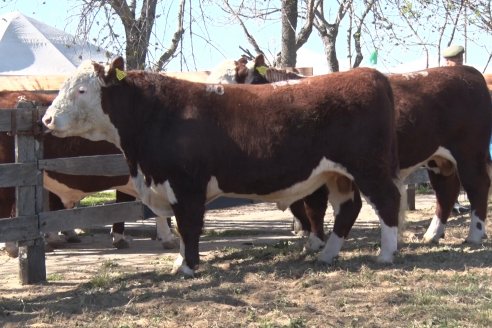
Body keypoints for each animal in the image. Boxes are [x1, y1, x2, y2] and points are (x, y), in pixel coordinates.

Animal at [41, 57, 404, 276]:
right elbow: (180, 227)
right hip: (337, 174)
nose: (46, 119)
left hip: (368, 167)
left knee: (386, 201)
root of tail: (368, 75)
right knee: (348, 208)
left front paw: (186, 267)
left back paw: (386, 254)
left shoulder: (186, 185)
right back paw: (328, 254)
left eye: (81, 90)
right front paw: (180, 261)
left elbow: (188, 226)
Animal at [227, 54, 492, 264]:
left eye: (242, 80)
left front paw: (315, 243)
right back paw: (432, 235)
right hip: (438, 160)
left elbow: (312, 209)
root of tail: (468, 73)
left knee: (477, 186)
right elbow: (300, 207)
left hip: (469, 153)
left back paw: (474, 235)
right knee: (446, 191)